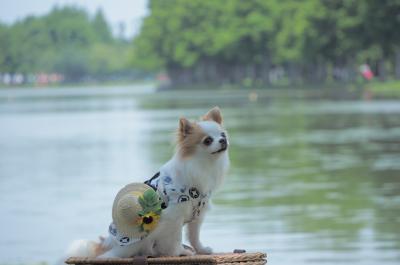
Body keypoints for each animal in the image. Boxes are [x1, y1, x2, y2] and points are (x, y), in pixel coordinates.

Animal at [64, 106, 230, 256]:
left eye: (223, 135)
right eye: (208, 140)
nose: (223, 140)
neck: (205, 164)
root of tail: (106, 244)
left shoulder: (197, 215)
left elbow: (194, 236)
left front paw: (201, 250)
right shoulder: (174, 216)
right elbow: (175, 239)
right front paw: (180, 252)